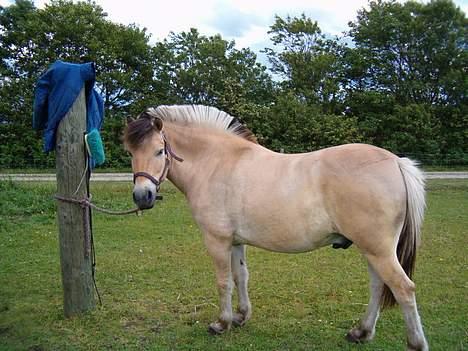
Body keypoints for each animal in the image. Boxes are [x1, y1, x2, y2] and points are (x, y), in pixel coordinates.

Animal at [123, 105, 428, 351]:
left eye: (159, 151)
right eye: (131, 153)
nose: (142, 197)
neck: (217, 163)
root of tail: (395, 162)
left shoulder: (217, 240)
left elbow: (223, 282)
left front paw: (222, 323)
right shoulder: (236, 241)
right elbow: (241, 277)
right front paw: (241, 316)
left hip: (378, 250)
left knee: (403, 289)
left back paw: (415, 343)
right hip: (372, 249)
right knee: (379, 285)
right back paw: (361, 332)